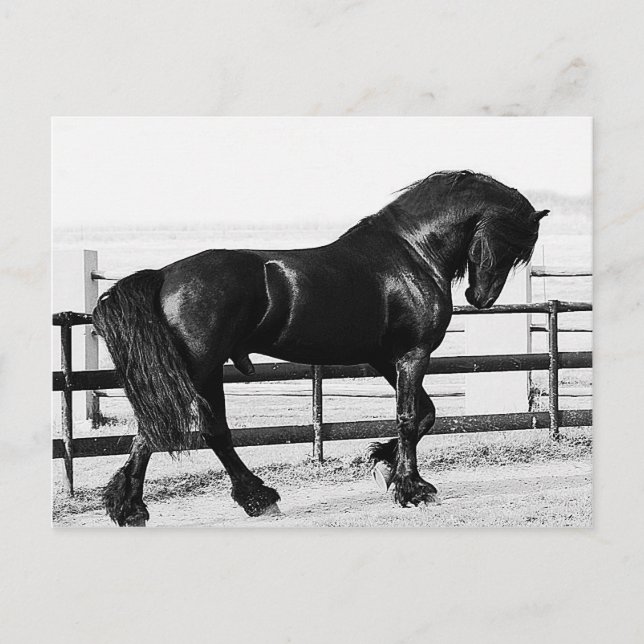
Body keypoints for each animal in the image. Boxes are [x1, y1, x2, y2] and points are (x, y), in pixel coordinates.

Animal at [92, 170, 548, 526]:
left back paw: (255, 499)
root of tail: (164, 275)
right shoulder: (412, 355)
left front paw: (383, 462)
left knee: (212, 432)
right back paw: (133, 509)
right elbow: (408, 417)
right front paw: (413, 489)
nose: (481, 297)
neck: (412, 252)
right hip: (195, 368)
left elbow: (424, 415)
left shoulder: (387, 358)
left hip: (208, 371)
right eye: (508, 240)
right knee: (157, 431)